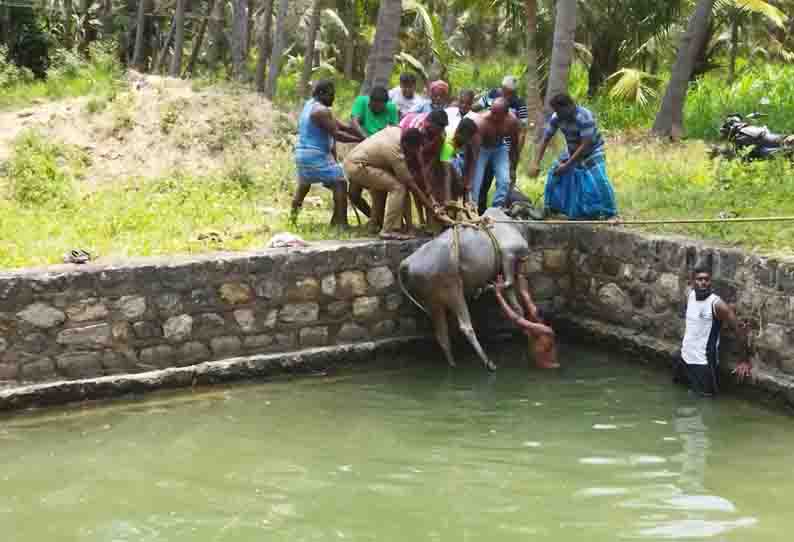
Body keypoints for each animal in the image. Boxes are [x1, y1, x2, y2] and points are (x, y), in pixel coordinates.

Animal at [396, 206, 556, 372]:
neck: (513, 223)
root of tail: (406, 264)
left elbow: (516, 304)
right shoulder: (508, 254)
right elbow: (508, 283)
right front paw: (488, 287)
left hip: (433, 303)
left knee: (442, 335)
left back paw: (453, 363)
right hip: (453, 289)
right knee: (465, 327)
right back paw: (489, 363)